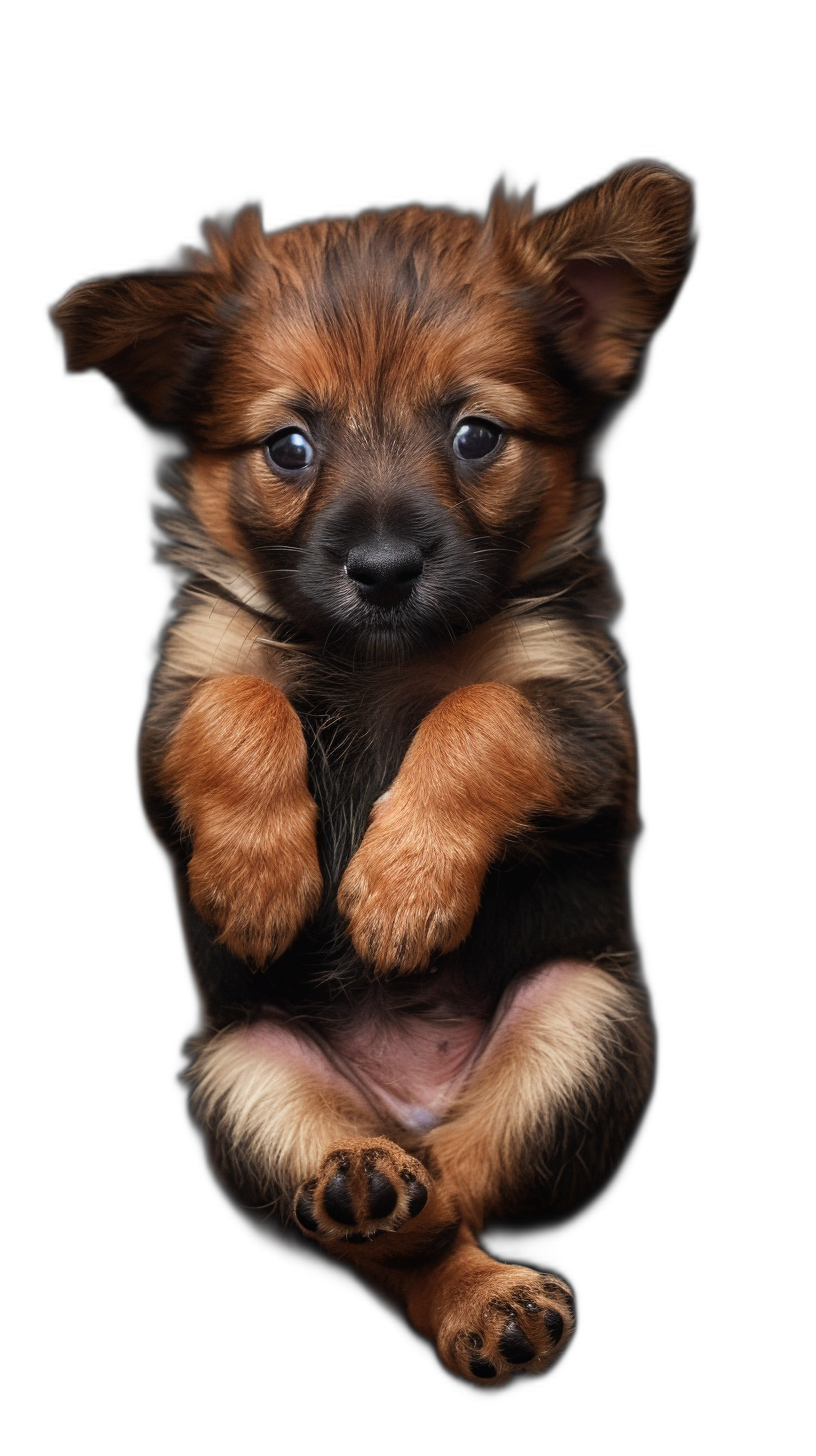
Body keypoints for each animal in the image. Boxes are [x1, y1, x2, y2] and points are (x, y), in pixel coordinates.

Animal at [54, 165, 693, 1380]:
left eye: (477, 435)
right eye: (289, 448)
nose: (387, 569)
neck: (378, 657)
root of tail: (404, 1112)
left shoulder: (580, 713)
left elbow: (477, 712)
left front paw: (399, 896)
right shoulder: (180, 694)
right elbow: (238, 702)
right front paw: (259, 882)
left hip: (580, 1015)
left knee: (457, 1196)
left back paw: (470, 1271)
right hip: (246, 1072)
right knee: (382, 1236)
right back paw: (369, 1191)